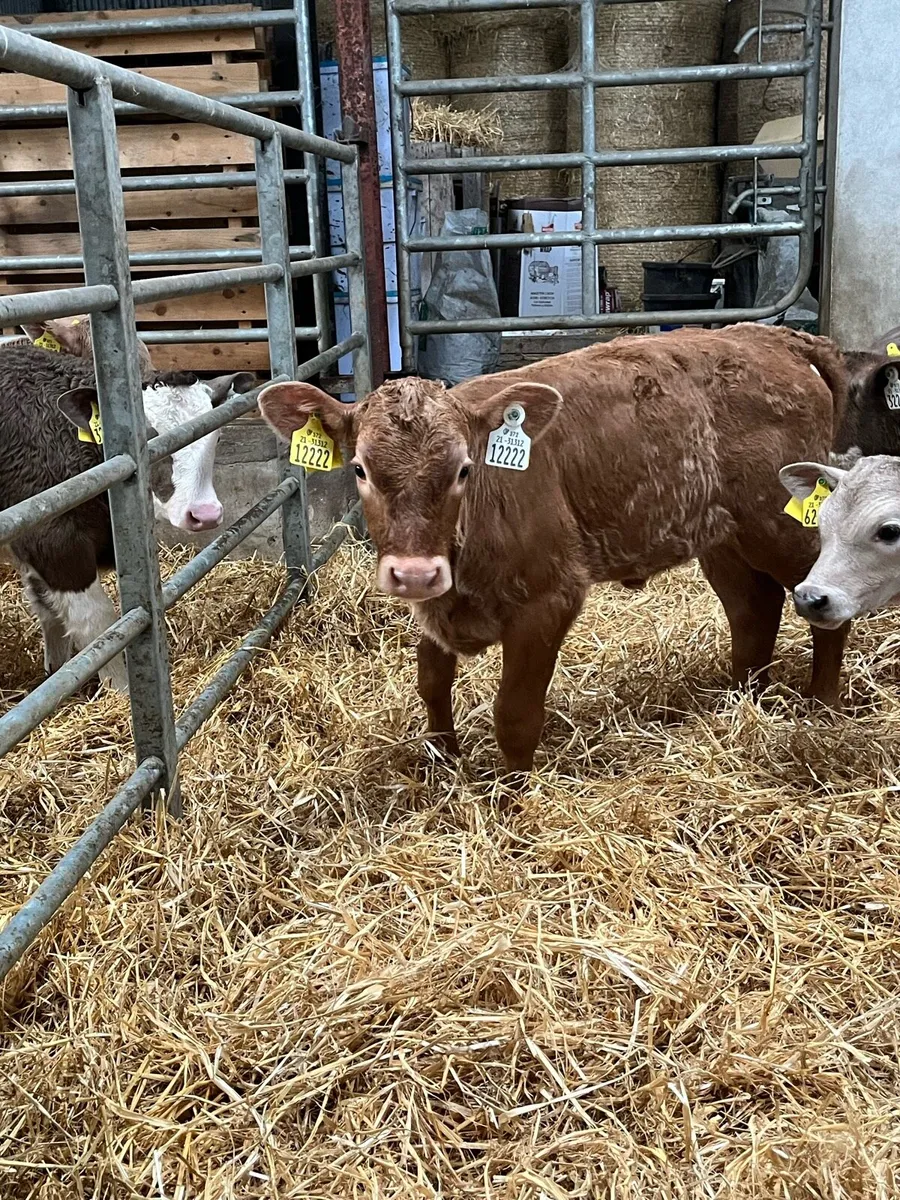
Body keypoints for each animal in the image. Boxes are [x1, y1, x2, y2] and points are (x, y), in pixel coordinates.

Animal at [0, 342, 255, 689]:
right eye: (147, 437)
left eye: (214, 434)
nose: (205, 513)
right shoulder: (55, 544)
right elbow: (99, 626)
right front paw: (119, 691)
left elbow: (51, 614)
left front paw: (56, 674)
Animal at [258, 323, 849, 773]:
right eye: (360, 469)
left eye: (464, 470)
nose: (415, 573)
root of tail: (773, 334)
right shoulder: (439, 605)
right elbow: (431, 682)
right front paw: (443, 763)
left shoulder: (548, 600)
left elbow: (515, 714)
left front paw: (511, 799)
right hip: (722, 536)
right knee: (754, 609)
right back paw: (743, 700)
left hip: (782, 525)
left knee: (821, 603)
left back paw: (821, 706)